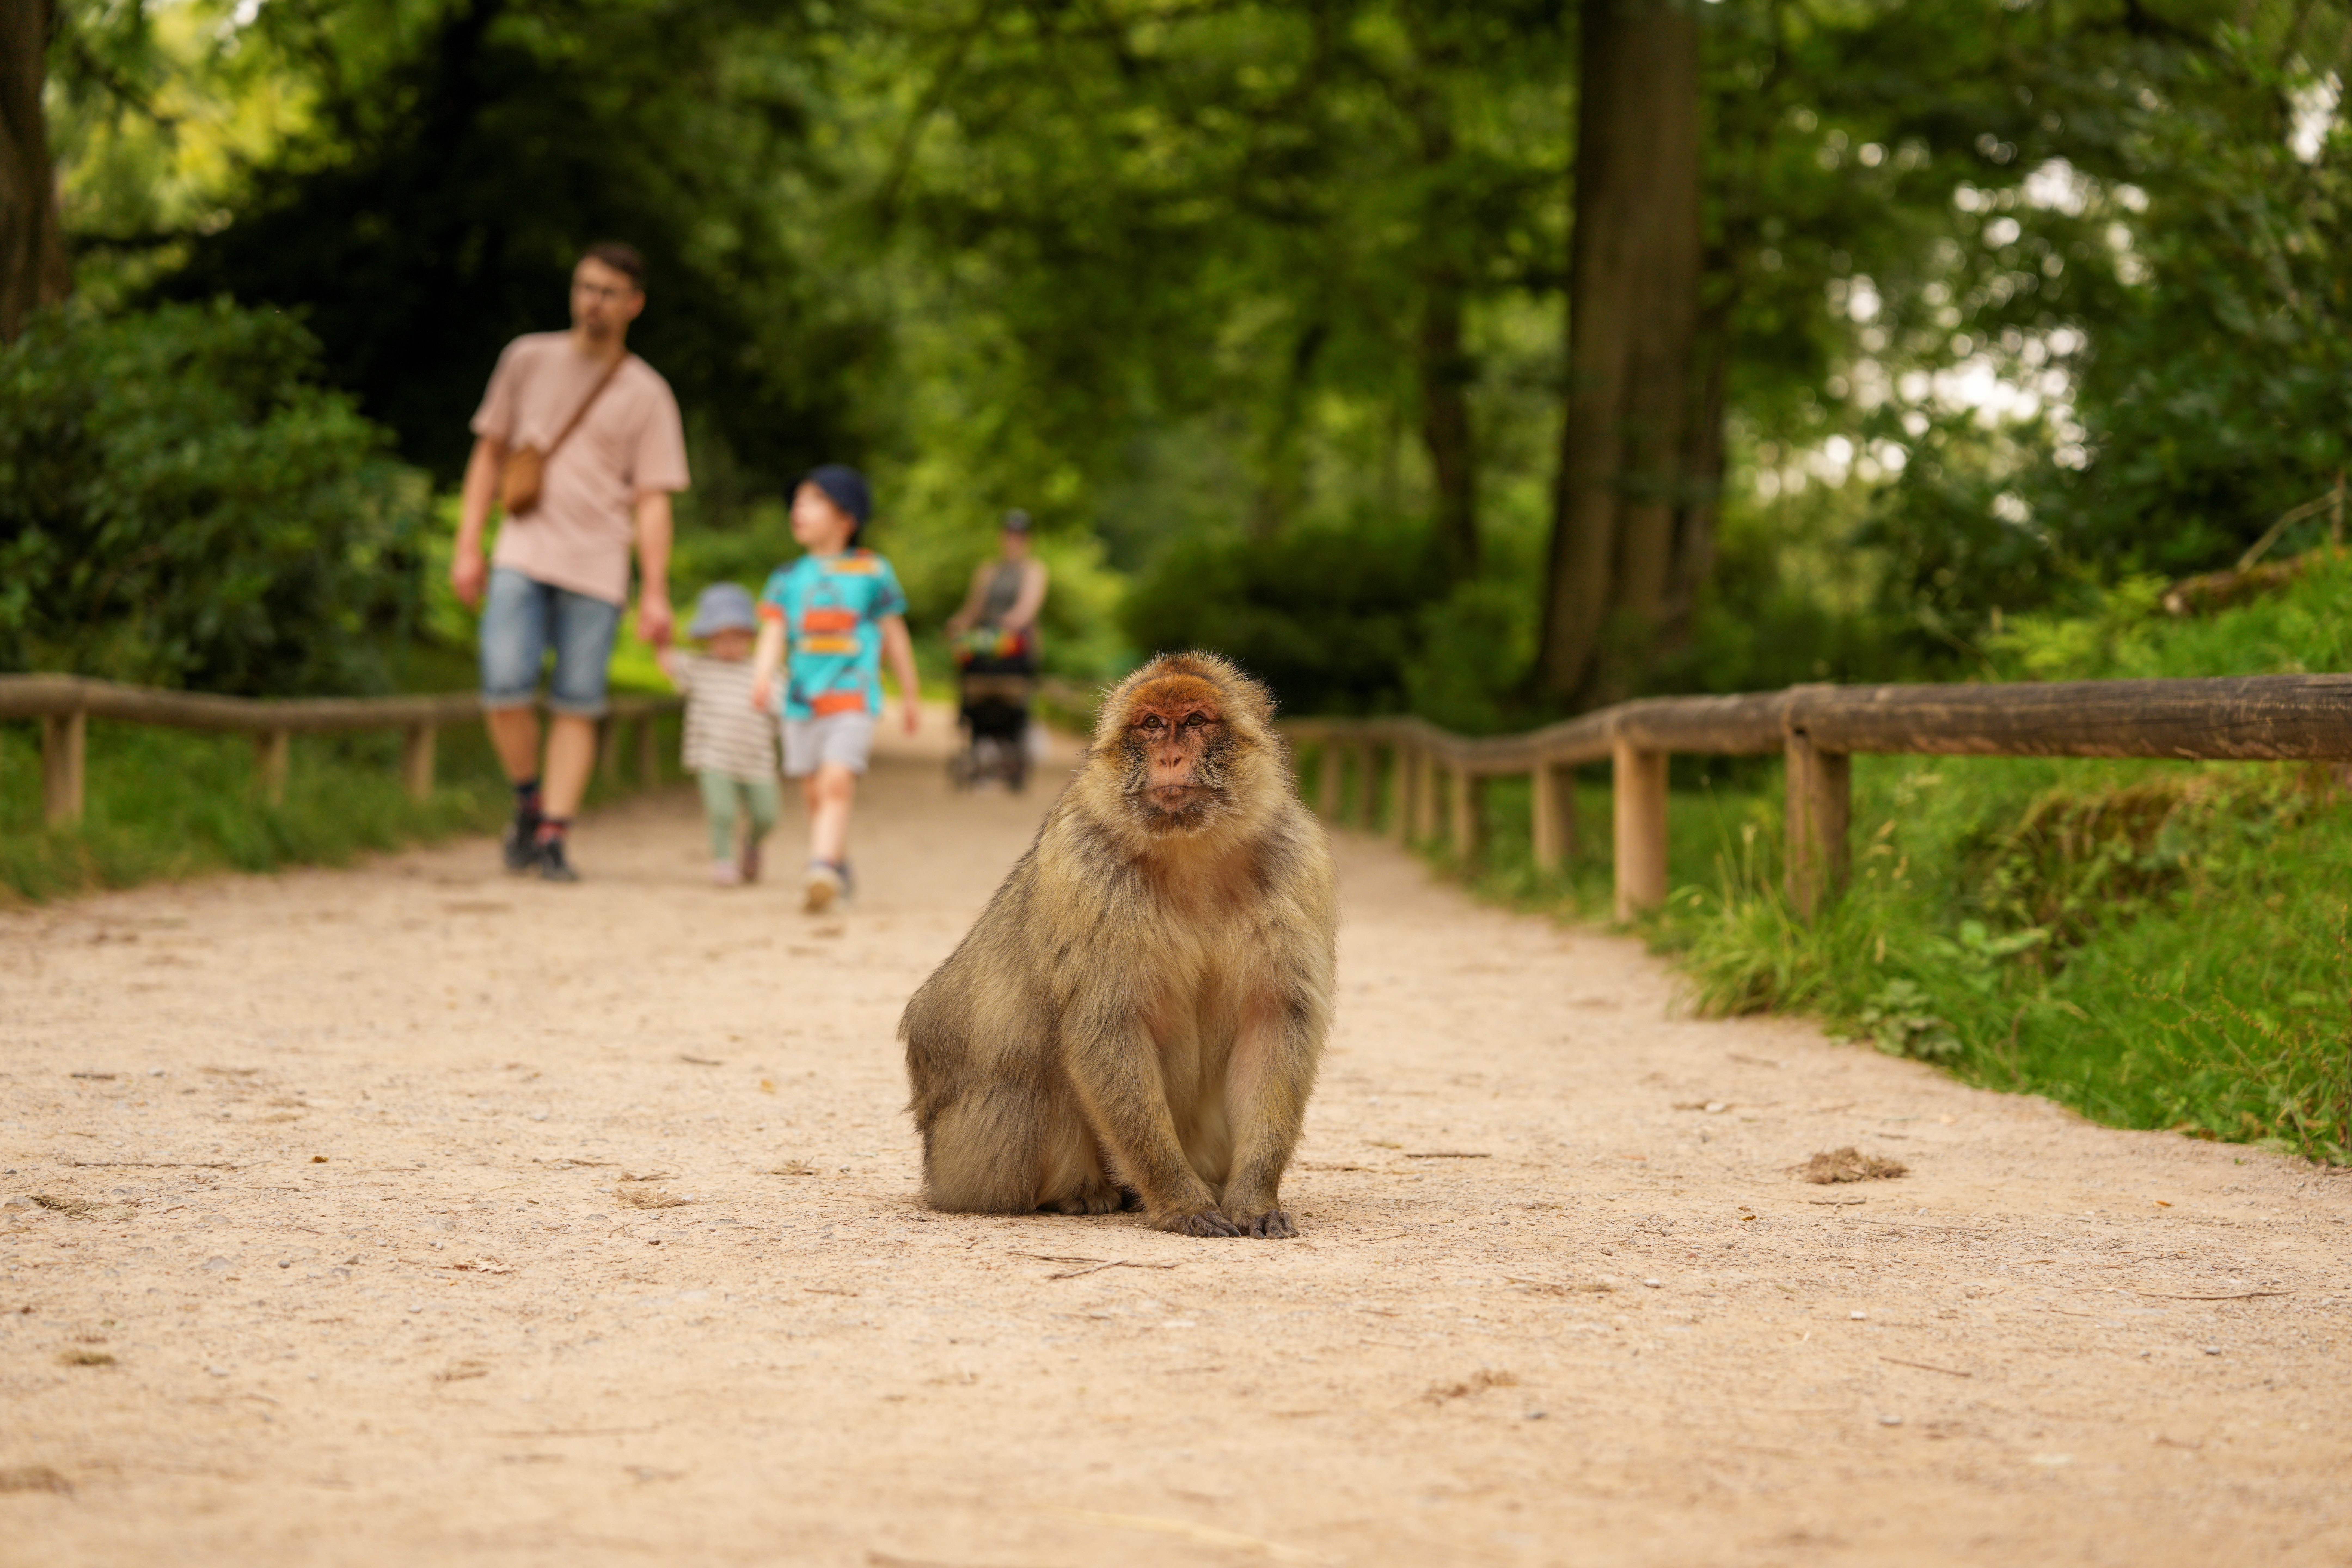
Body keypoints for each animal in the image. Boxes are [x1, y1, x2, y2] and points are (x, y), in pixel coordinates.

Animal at [899, 650, 1337, 1238]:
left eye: (1195, 722)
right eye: (1151, 725)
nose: (1171, 756)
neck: (1191, 853)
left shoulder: (1299, 864)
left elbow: (1275, 1023)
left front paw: (1255, 1197)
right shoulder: (1083, 863)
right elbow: (1105, 1026)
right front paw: (1181, 1202)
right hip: (968, 1161)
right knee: (1034, 1060)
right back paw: (1081, 1193)